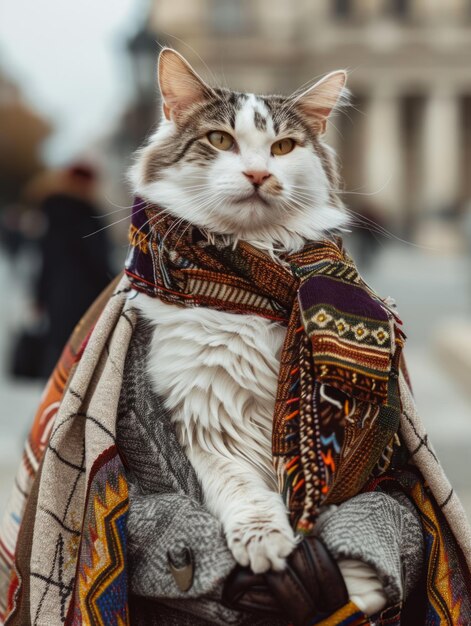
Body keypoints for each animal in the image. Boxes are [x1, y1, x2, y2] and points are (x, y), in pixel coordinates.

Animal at [129, 48, 350, 572]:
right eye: (220, 140)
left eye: (284, 147)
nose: (258, 175)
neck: (245, 282)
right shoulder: (204, 419)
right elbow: (243, 490)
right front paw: (265, 543)